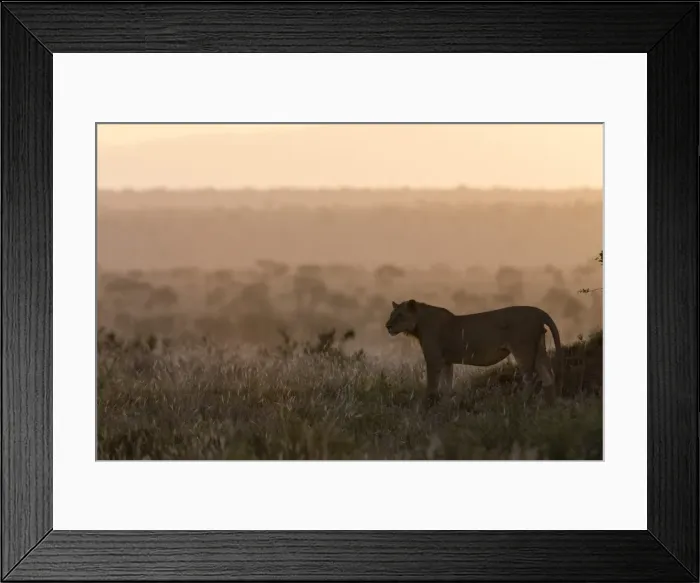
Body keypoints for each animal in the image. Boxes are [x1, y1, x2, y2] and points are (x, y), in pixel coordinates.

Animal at [385, 299, 563, 405]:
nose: (387, 326)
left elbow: (432, 385)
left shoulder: (433, 359)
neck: (418, 324)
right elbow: (446, 386)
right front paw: (446, 407)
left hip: (523, 349)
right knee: (548, 377)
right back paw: (550, 406)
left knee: (529, 379)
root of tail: (538, 311)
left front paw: (427, 405)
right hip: (539, 350)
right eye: (392, 314)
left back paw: (522, 403)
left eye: (400, 315)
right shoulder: (446, 361)